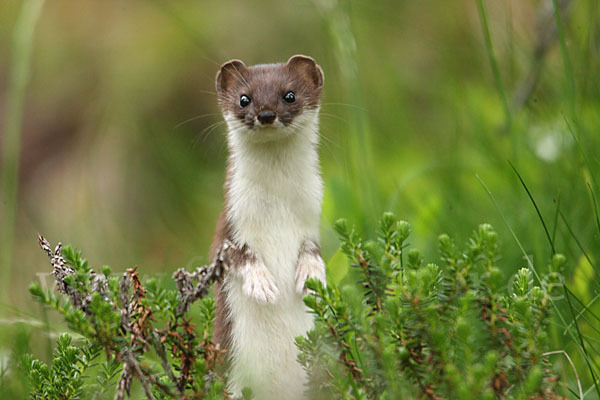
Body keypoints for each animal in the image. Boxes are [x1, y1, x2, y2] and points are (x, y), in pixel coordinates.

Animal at [209, 57, 326, 400]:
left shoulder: (312, 215)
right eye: (244, 99)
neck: (277, 210)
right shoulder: (230, 222)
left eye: (289, 95)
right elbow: (237, 254)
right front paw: (261, 284)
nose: (265, 114)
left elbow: (312, 250)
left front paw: (311, 276)